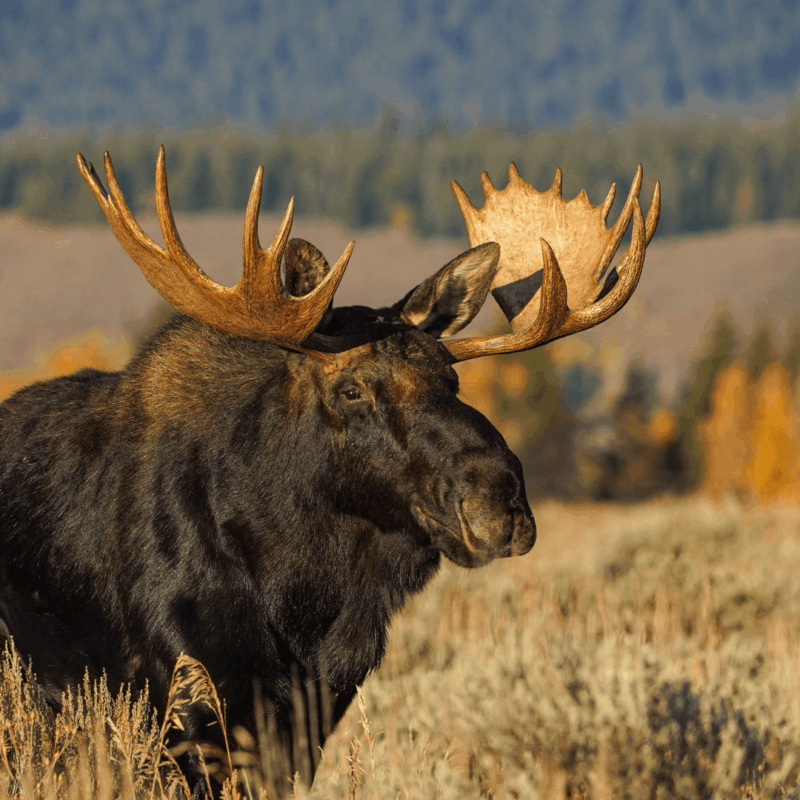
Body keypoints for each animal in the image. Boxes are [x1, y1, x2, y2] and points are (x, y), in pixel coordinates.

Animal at [0, 147, 659, 793]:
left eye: (451, 379)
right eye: (350, 390)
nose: (499, 503)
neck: (304, 594)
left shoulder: (311, 713)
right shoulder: (188, 701)